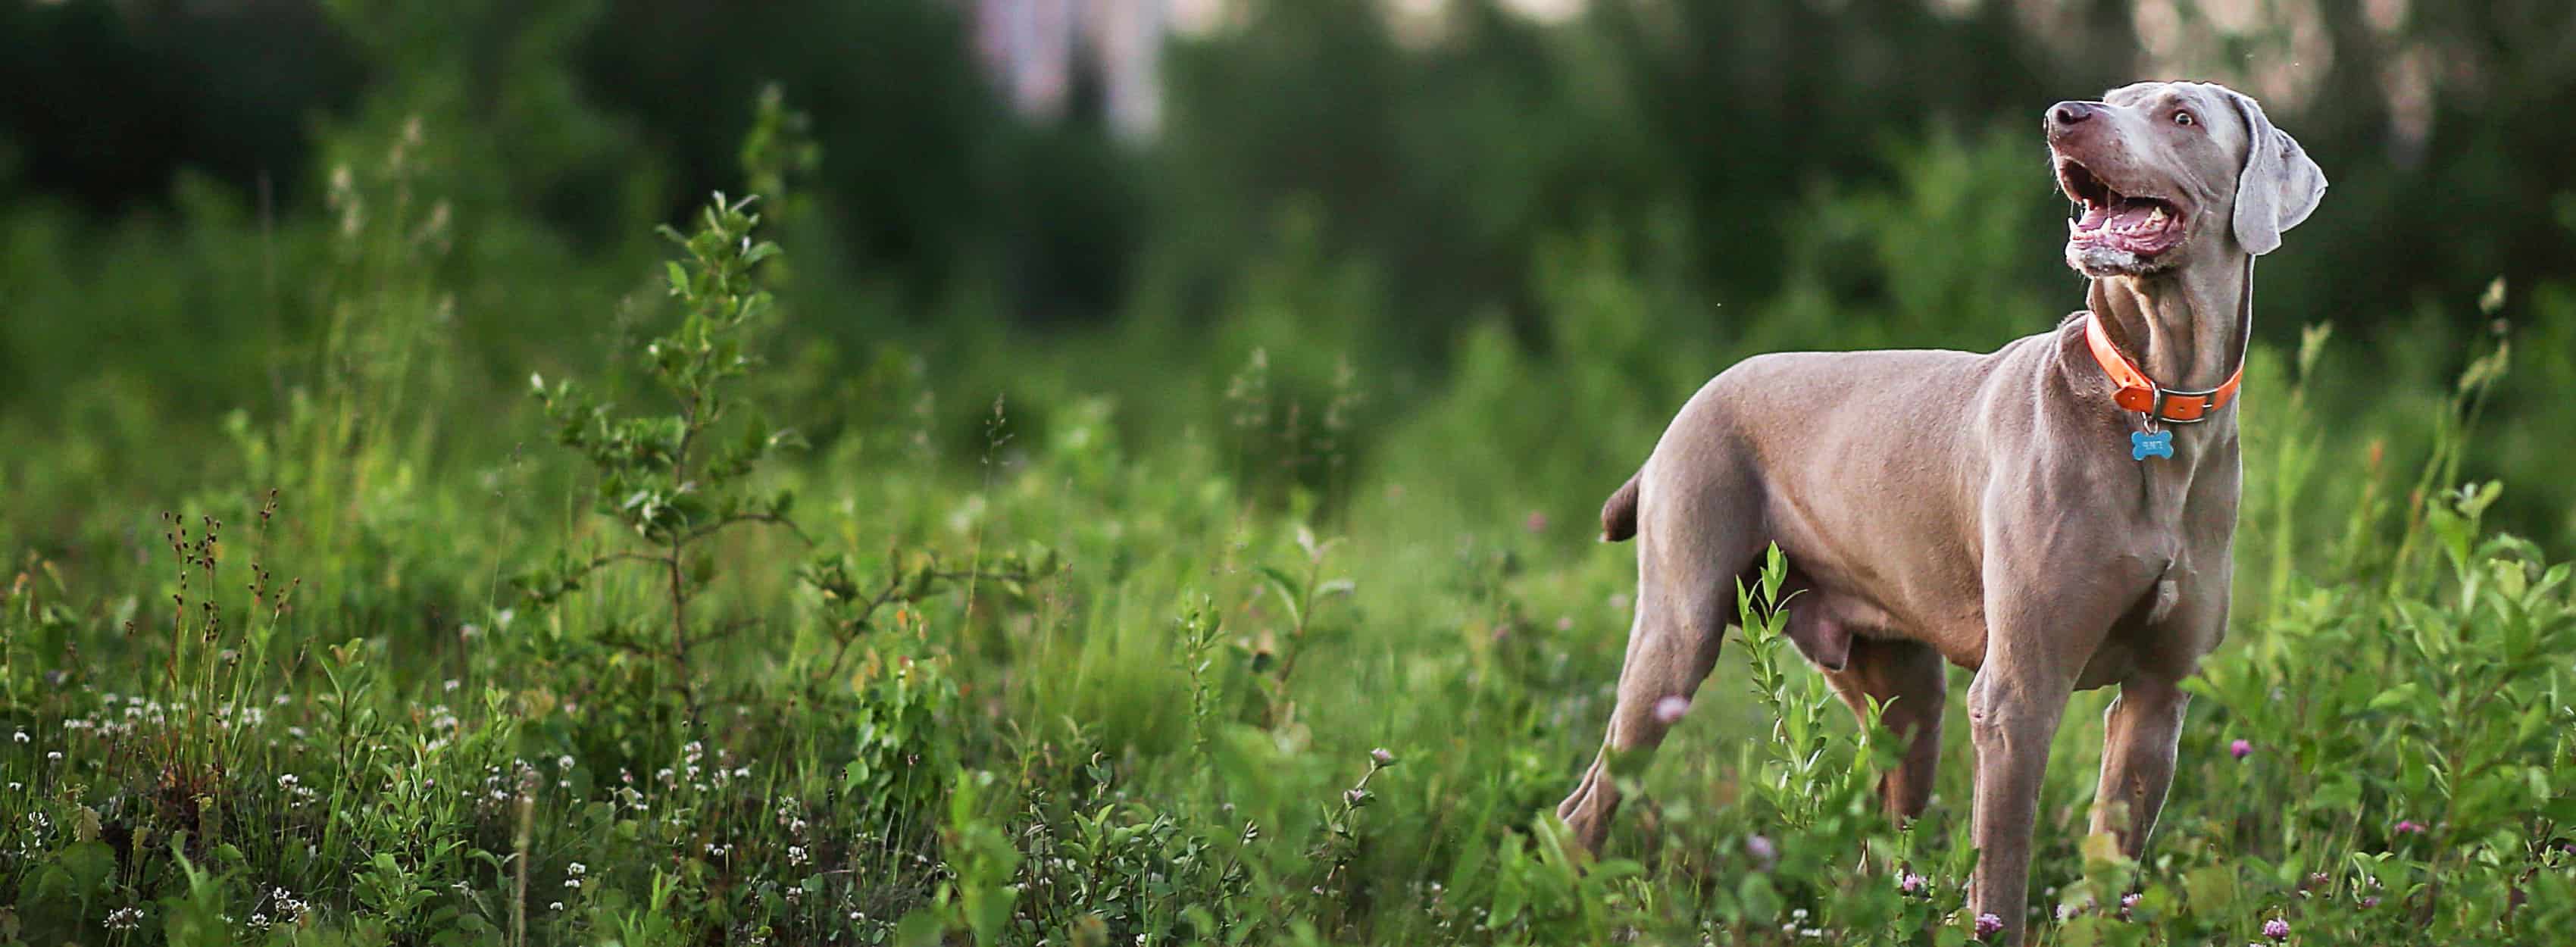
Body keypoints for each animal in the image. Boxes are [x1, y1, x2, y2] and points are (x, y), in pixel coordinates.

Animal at [1555, 81, 2328, 942]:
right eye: (2112, 97)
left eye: (2181, 116)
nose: (2064, 117)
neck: (2154, 395)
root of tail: (1684, 411)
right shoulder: (2017, 694)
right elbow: (2002, 879)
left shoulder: (2158, 697)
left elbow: (2109, 864)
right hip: (1679, 627)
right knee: (1587, 802)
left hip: (1901, 692)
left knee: (1876, 841)